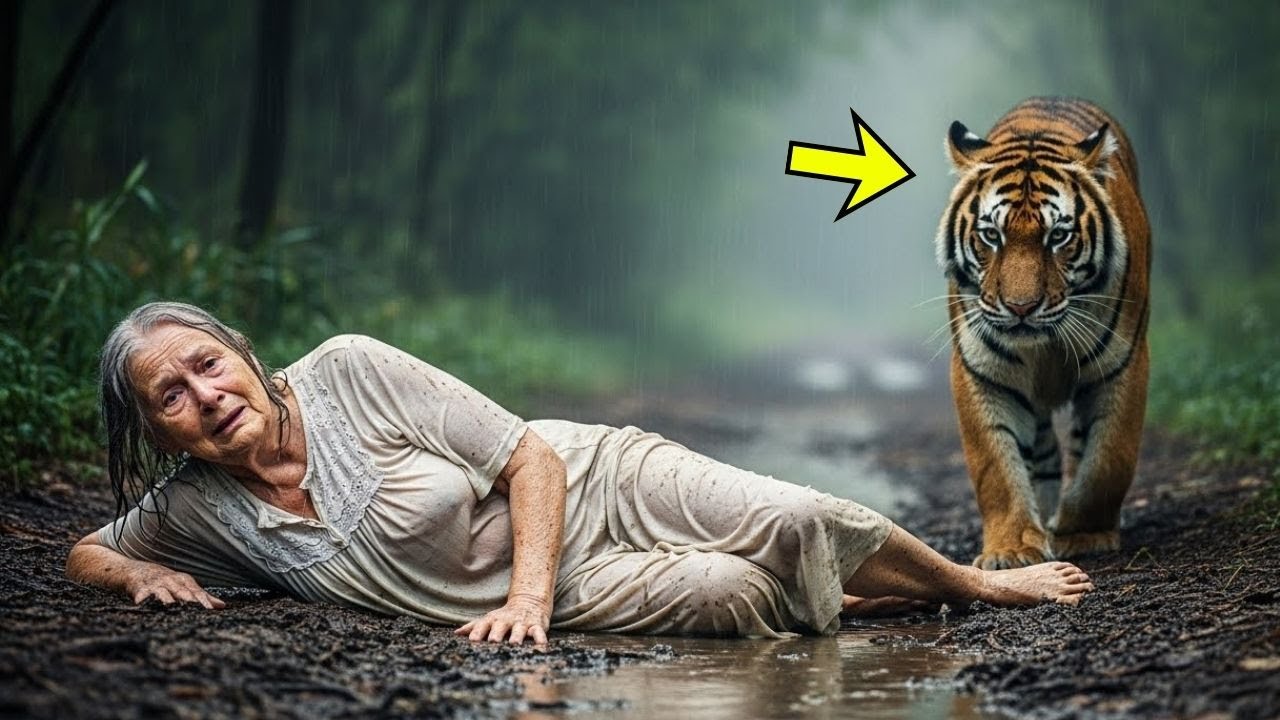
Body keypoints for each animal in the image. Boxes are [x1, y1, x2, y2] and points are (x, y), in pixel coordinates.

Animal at [935, 97, 1150, 570]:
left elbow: (1109, 457)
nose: (1020, 308)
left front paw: (1084, 534)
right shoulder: (982, 369)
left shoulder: (1123, 362)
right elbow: (996, 466)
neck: (1044, 345)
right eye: (991, 235)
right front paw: (1012, 549)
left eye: (1059, 236)